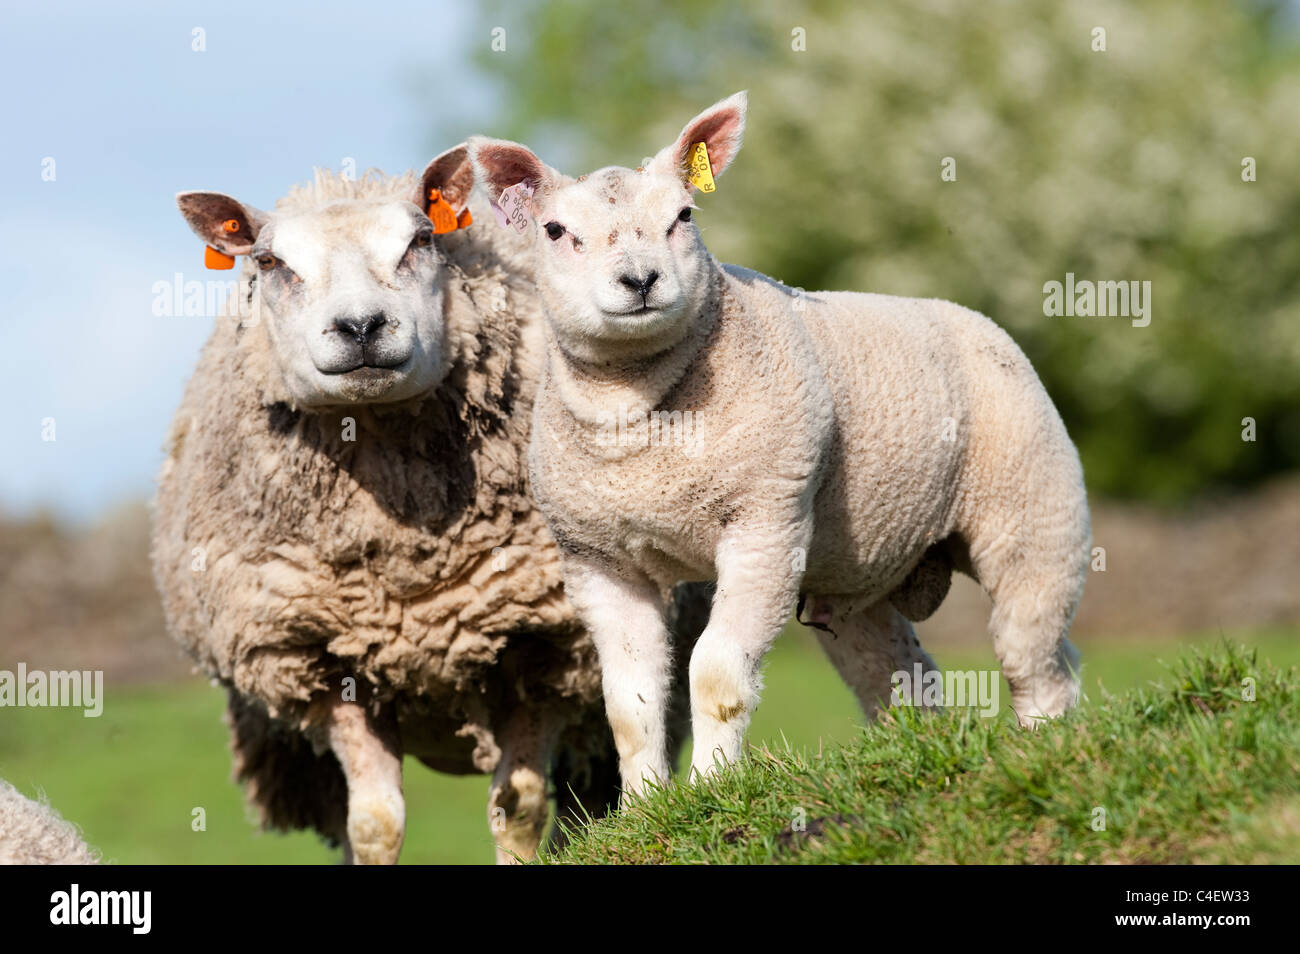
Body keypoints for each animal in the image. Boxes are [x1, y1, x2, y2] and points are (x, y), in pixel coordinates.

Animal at [153, 147, 705, 863]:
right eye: (269, 262)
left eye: (421, 241)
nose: (361, 326)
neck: (408, 556)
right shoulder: (323, 661)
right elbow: (373, 823)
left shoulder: (542, 646)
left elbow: (519, 808)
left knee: (591, 792)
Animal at [469, 91, 1090, 796]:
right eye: (554, 231)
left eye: (684, 216)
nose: (640, 280)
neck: (640, 419)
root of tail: (975, 319)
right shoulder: (597, 559)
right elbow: (629, 702)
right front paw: (645, 806)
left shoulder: (764, 525)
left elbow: (715, 671)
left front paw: (711, 791)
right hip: (856, 569)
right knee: (901, 673)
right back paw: (914, 752)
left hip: (1034, 510)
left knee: (1035, 650)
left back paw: (1042, 748)